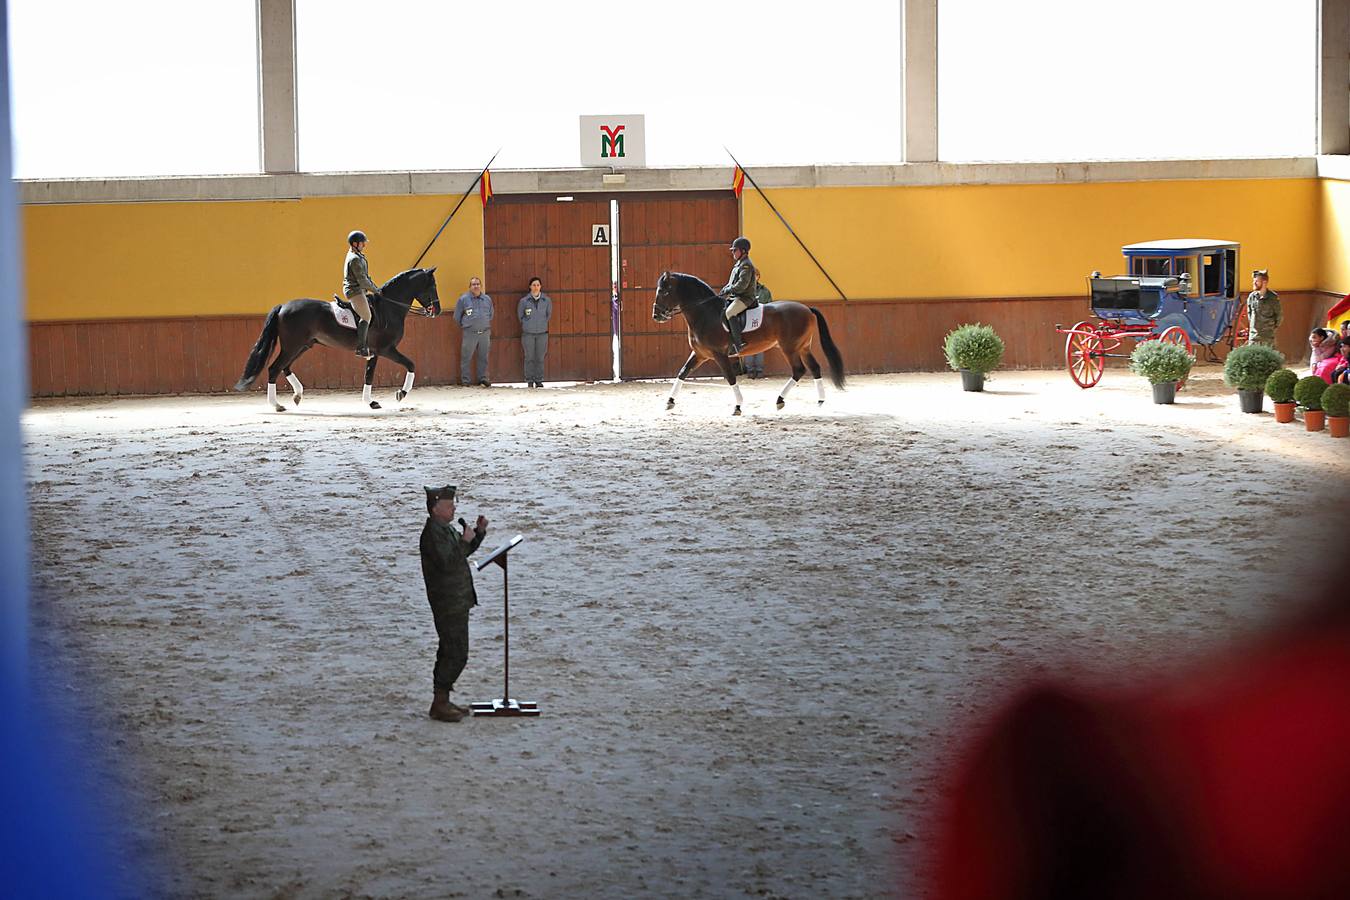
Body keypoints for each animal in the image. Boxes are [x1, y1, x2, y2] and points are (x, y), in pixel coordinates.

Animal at [232, 265, 440, 410]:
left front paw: (370, 402)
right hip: (292, 346)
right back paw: (277, 405)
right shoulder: (387, 350)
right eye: (432, 286)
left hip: (302, 346)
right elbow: (411, 365)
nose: (436, 311)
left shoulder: (374, 353)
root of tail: (283, 306)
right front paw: (401, 393)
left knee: (285, 367)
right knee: (274, 368)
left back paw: (297, 395)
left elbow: (369, 376)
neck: (389, 308)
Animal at [650, 272, 842, 418]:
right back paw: (820, 401)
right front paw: (669, 401)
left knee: (799, 370)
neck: (705, 314)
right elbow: (683, 372)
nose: (656, 315)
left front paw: (738, 407)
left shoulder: (719, 354)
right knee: (815, 368)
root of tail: (807, 309)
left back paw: (780, 400)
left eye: (664, 291)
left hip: (789, 348)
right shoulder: (700, 354)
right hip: (802, 348)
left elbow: (730, 378)